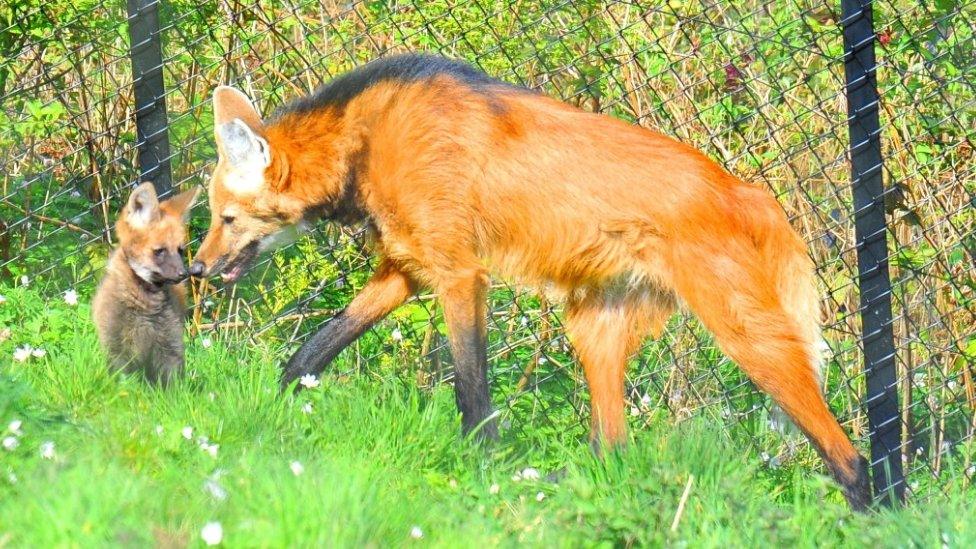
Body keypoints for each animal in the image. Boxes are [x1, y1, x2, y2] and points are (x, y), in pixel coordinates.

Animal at [189, 53, 868, 508]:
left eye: (227, 218)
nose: (195, 266)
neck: (366, 139)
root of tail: (745, 190)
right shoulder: (409, 269)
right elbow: (311, 350)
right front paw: (269, 414)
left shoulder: (459, 274)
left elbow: (472, 392)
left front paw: (482, 472)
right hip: (594, 329)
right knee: (613, 447)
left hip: (745, 335)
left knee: (850, 457)